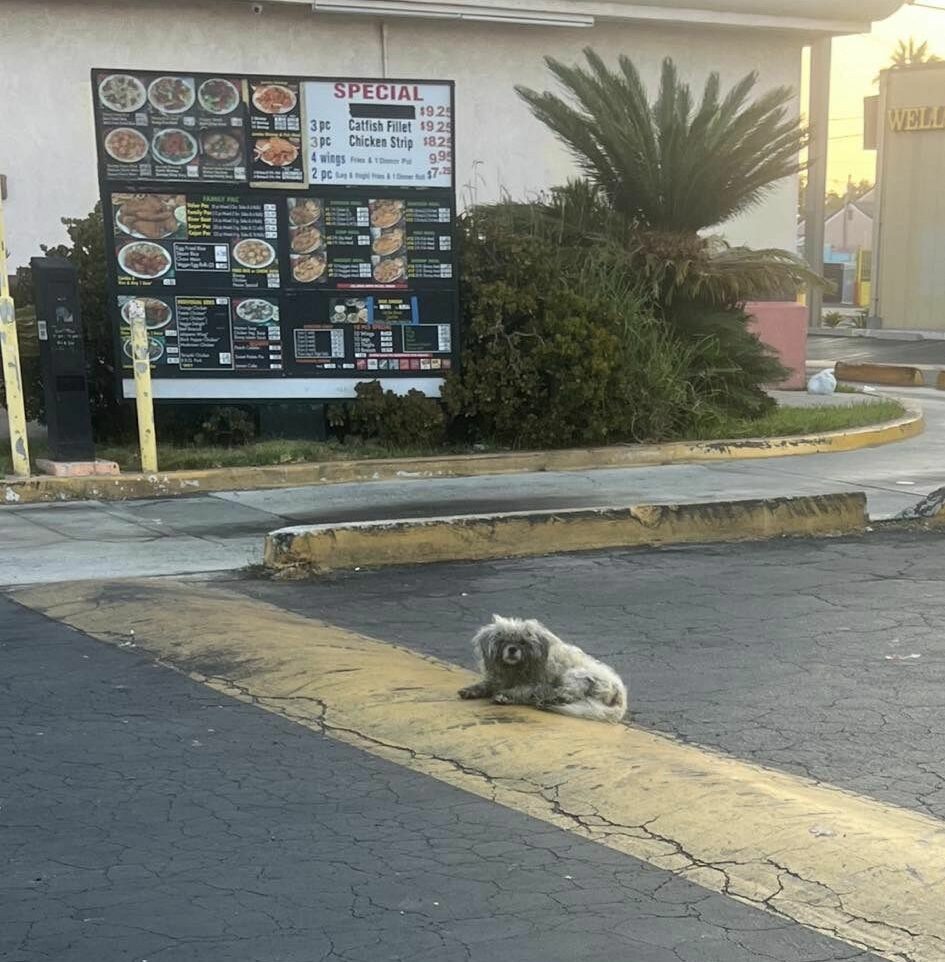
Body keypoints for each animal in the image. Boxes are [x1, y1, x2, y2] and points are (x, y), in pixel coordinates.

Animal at [458, 616, 628, 720]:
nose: (512, 649)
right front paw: (471, 690)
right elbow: (486, 684)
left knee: (570, 695)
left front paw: (505, 696)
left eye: (523, 642)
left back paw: (547, 701)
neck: (516, 668)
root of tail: (621, 694)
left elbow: (521, 690)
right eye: (503, 640)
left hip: (575, 675)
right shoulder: (499, 679)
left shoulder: (538, 685)